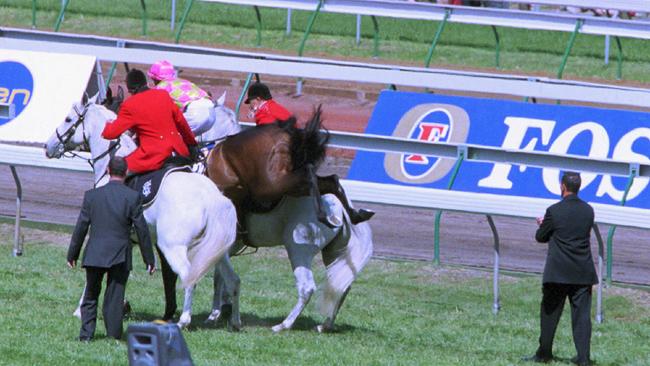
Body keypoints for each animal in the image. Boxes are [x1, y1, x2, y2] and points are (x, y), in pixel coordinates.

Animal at [44, 98, 240, 328]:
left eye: (68, 119)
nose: (48, 146)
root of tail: (210, 197)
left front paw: (80, 309)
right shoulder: (127, 240)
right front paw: (121, 305)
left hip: (173, 247)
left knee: (189, 277)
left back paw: (183, 321)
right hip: (218, 251)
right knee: (233, 280)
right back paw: (235, 321)